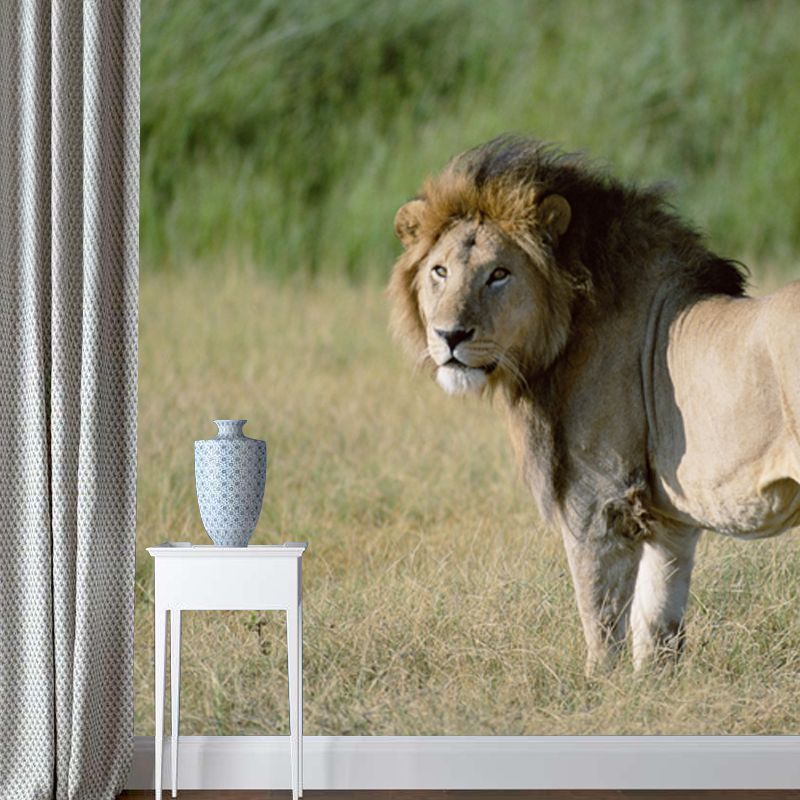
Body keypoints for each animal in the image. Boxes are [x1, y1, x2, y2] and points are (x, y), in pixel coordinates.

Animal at [388, 135, 800, 672]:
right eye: (439, 271)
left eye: (499, 274)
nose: (450, 335)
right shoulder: (669, 518)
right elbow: (658, 621)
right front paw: (654, 686)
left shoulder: (600, 496)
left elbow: (600, 617)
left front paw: (598, 685)